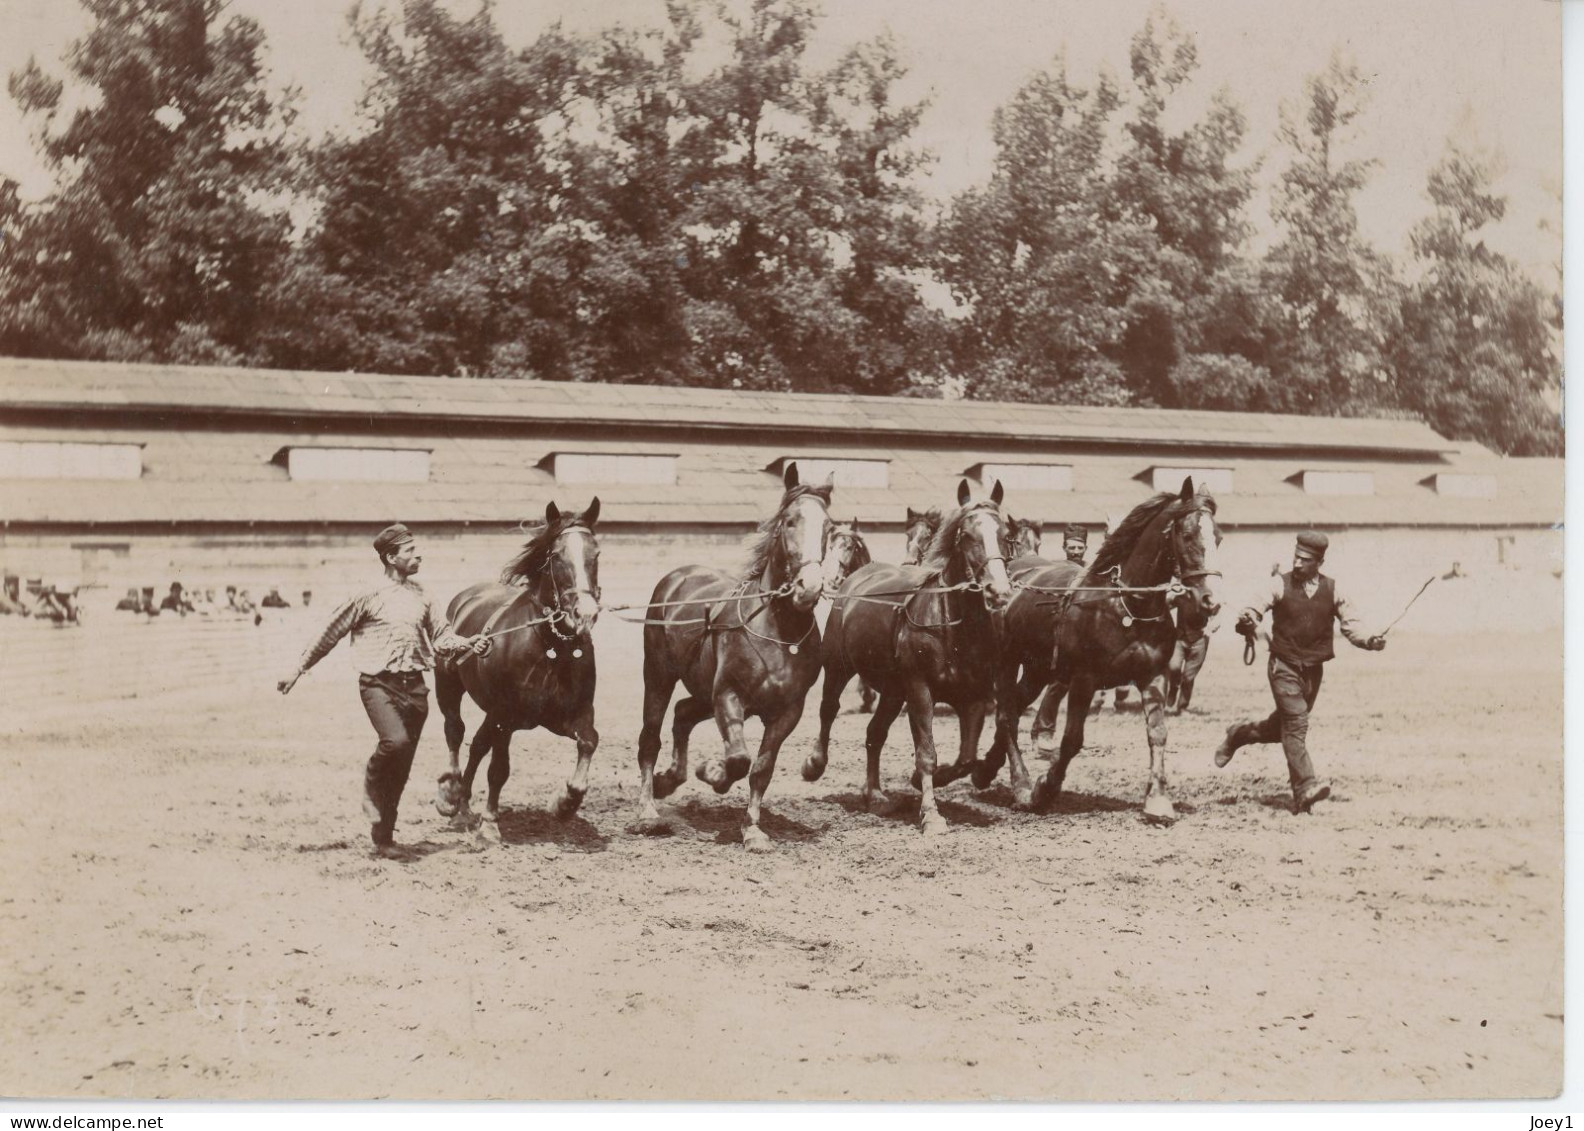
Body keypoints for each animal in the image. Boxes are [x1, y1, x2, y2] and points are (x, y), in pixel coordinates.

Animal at [434, 497, 598, 823]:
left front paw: (564, 802)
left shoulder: (570, 714)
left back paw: (464, 804)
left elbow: (589, 741)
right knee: (455, 731)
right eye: (557, 557)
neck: (551, 650)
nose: (585, 613)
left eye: (596, 554)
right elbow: (499, 770)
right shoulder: (505, 718)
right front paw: (490, 824)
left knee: (477, 745)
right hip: (449, 689)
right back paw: (450, 793)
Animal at [633, 459, 836, 849]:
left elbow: (760, 769)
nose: (810, 587)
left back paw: (671, 778)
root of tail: (677, 578)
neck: (779, 633)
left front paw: (752, 829)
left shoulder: (787, 711)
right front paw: (713, 771)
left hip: (702, 692)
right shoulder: (728, 694)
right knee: (650, 738)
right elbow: (740, 759)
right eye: (790, 521)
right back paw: (648, 810)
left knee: (682, 714)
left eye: (829, 528)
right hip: (659, 677)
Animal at [804, 472, 1013, 830]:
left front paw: (922, 782)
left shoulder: (974, 698)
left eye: (1005, 534)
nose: (998, 591)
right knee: (828, 710)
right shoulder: (920, 690)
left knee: (874, 734)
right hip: (838, 668)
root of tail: (854, 580)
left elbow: (965, 759)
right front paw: (931, 814)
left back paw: (876, 796)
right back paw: (814, 764)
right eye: (968, 536)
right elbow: (927, 753)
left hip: (892, 691)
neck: (950, 624)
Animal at [1026, 472, 1222, 823]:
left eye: (1220, 538)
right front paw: (1044, 789)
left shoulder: (1154, 676)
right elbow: (1072, 739)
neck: (1128, 607)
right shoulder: (1084, 680)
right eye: (1187, 534)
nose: (1209, 602)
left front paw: (1157, 801)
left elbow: (1158, 733)